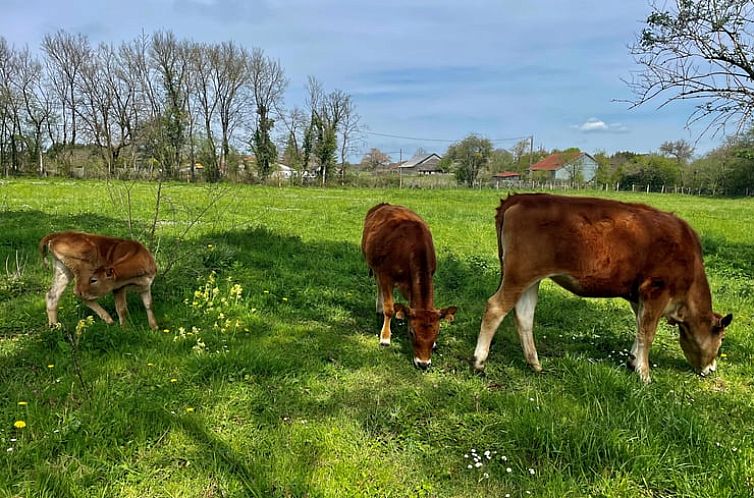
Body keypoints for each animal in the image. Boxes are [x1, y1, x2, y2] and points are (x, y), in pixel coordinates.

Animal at [362, 202, 456, 370]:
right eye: (412, 333)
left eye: (437, 333)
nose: (423, 364)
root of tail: (384, 204)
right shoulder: (386, 275)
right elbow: (389, 309)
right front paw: (385, 338)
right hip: (375, 267)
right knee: (379, 287)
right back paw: (379, 307)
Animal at [472, 195, 732, 382]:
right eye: (720, 340)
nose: (711, 369)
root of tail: (520, 198)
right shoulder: (656, 290)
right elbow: (647, 332)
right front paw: (644, 374)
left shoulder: (638, 295)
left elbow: (639, 326)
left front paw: (632, 361)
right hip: (520, 275)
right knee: (495, 307)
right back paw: (479, 362)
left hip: (531, 279)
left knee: (524, 315)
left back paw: (534, 364)